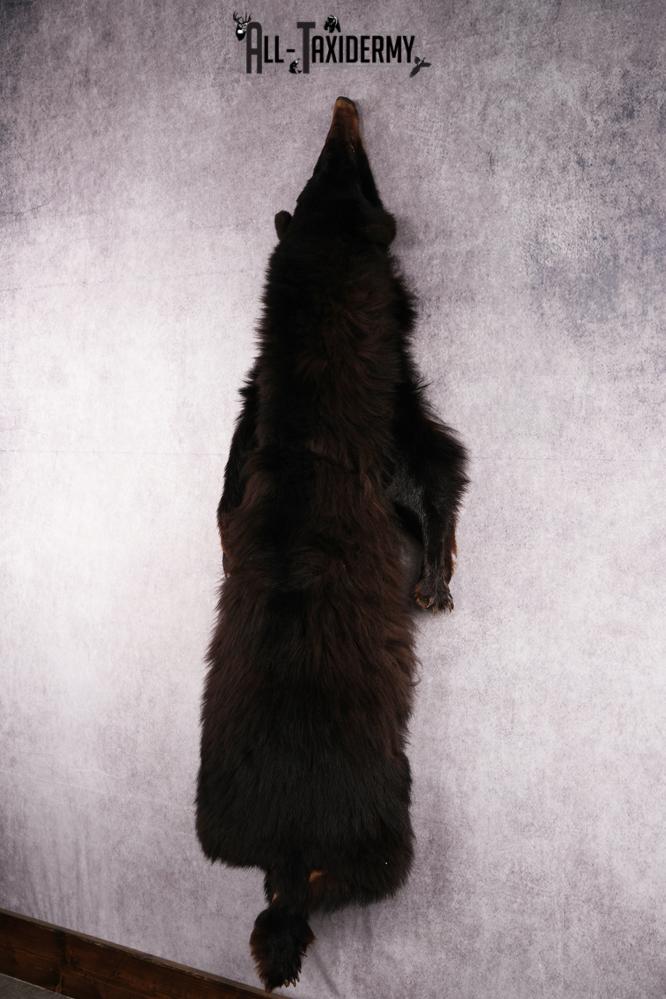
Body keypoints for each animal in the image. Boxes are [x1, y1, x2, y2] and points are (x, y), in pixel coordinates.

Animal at [195, 96, 469, 992]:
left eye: (322, 168)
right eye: (348, 170)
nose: (345, 103)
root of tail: (287, 853)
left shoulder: (248, 419)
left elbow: (224, 490)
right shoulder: (389, 425)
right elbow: (438, 470)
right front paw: (437, 580)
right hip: (382, 822)